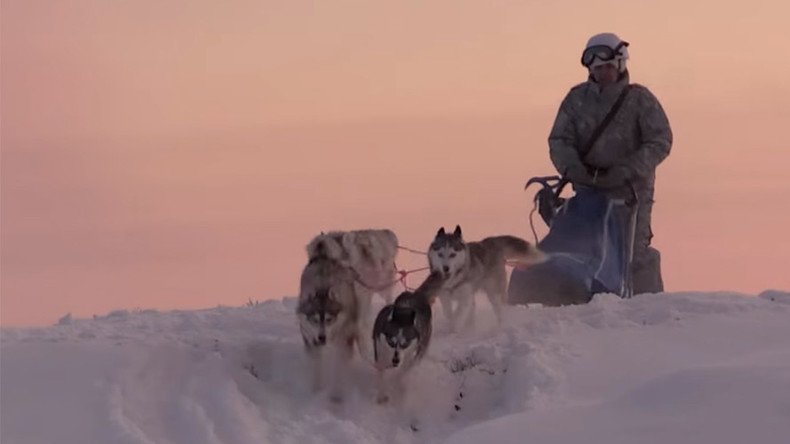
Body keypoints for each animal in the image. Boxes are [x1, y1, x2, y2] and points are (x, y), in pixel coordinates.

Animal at [296, 250, 358, 402]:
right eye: (314, 320)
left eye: (329, 319)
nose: (322, 337)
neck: (322, 287)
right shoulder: (311, 339)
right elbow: (317, 366)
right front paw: (317, 390)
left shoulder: (344, 340)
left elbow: (339, 368)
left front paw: (337, 395)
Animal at [372, 270, 446, 406]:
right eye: (391, 342)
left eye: (405, 344)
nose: (395, 361)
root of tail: (417, 295)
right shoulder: (380, 353)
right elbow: (382, 374)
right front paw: (382, 394)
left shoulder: (411, 355)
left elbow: (402, 373)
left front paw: (397, 384)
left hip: (422, 347)